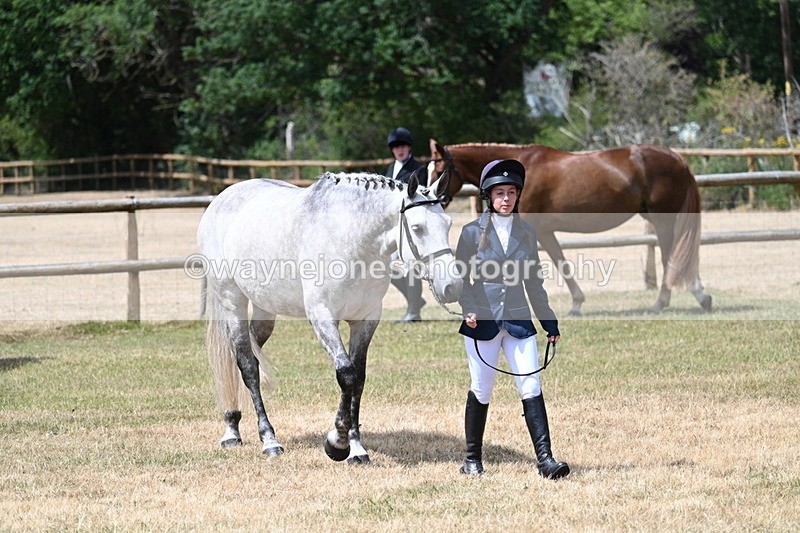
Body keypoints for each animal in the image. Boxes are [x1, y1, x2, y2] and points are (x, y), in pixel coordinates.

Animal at [197, 170, 461, 463]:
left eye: (448, 224)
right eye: (417, 228)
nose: (452, 287)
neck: (352, 240)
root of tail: (223, 198)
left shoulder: (366, 319)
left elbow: (359, 378)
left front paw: (356, 448)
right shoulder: (322, 316)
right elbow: (346, 375)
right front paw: (337, 443)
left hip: (265, 309)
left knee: (243, 356)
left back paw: (234, 423)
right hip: (232, 299)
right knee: (247, 366)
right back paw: (264, 439)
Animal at [429, 139, 712, 315]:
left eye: (440, 170)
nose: (432, 199)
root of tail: (676, 158)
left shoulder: (537, 232)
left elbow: (558, 265)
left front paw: (575, 304)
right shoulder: (544, 233)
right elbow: (561, 263)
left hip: (663, 219)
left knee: (670, 256)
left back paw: (668, 302)